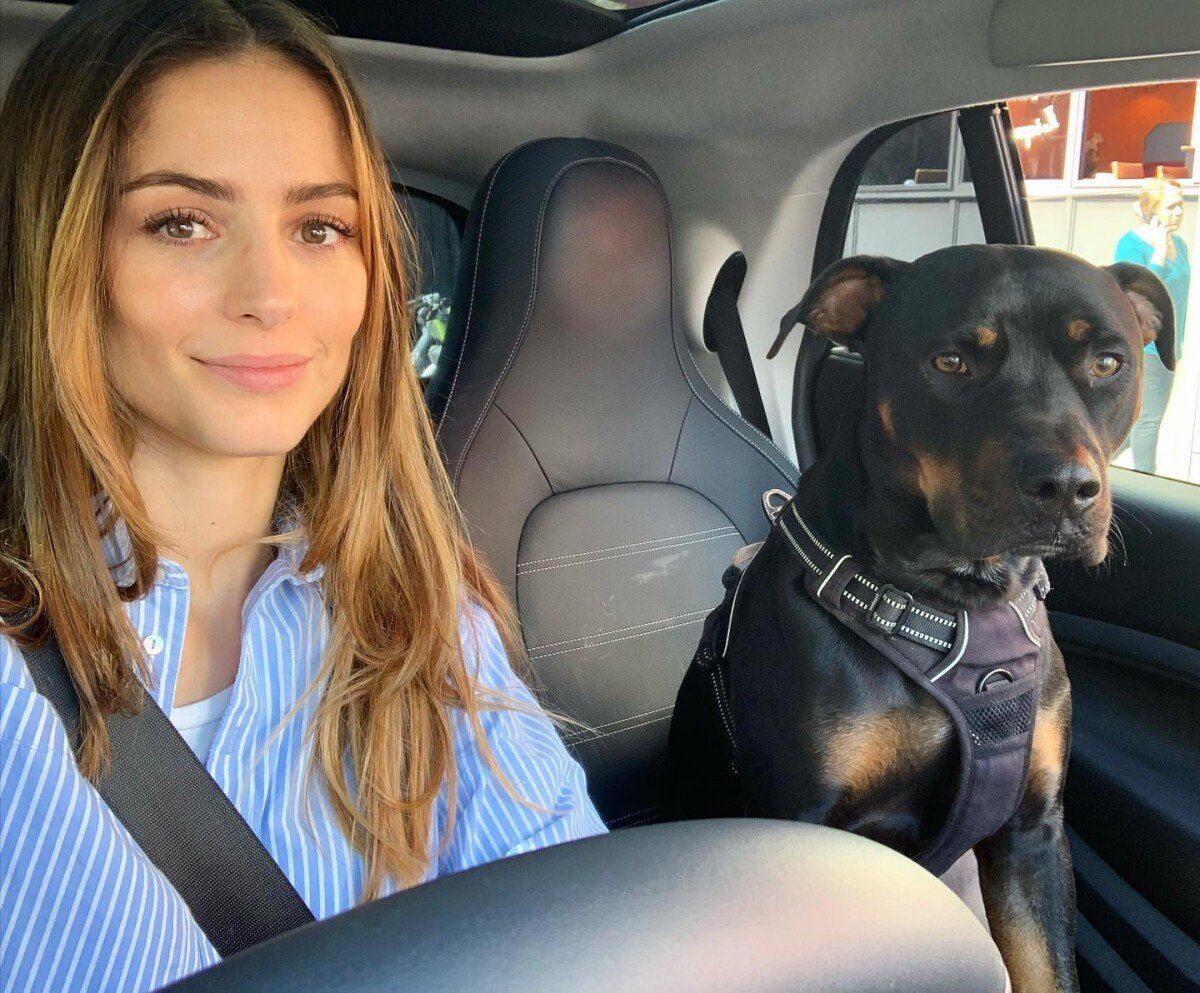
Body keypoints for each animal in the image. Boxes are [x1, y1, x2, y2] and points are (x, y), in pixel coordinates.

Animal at [672, 242, 1176, 993]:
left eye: (1109, 363)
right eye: (952, 362)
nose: (1064, 487)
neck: (958, 606)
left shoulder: (1032, 835)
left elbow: (1046, 967)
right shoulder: (804, 828)